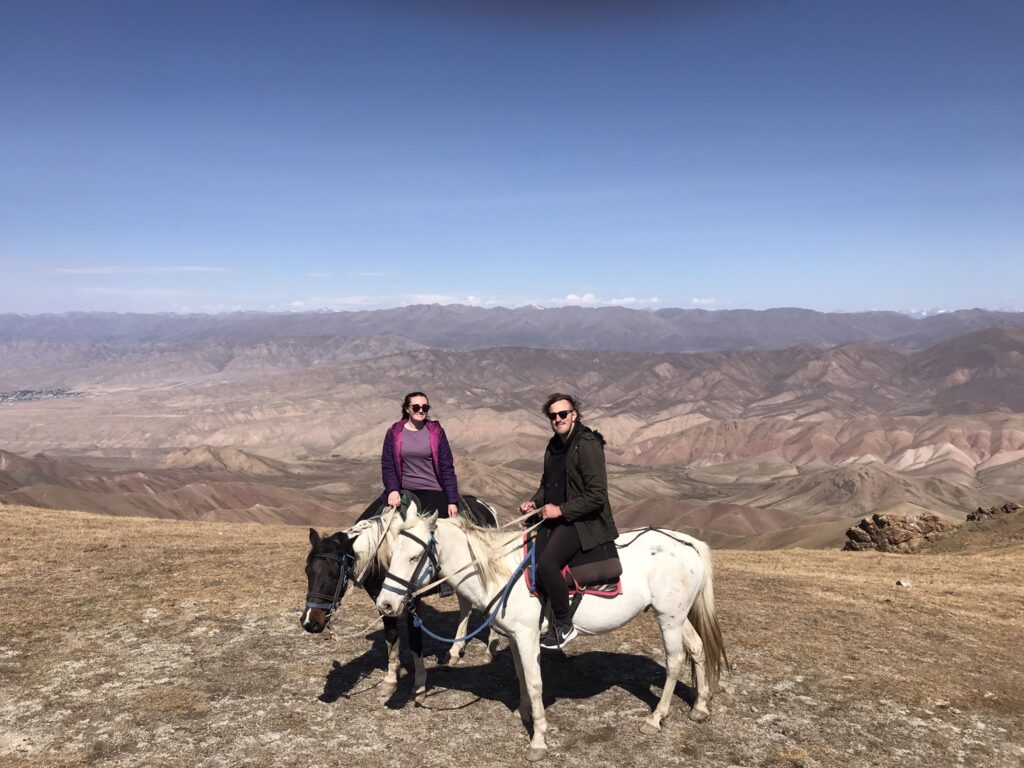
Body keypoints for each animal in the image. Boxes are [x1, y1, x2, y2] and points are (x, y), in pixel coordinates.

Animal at [376, 512, 729, 765]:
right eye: (392, 554)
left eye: (414, 557)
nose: (386, 605)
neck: (502, 572)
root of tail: (686, 542)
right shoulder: (515, 637)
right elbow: (520, 675)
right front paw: (523, 713)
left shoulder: (528, 635)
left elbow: (535, 683)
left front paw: (538, 740)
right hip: (677, 616)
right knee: (697, 648)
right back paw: (700, 707)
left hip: (668, 617)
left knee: (676, 660)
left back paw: (656, 718)